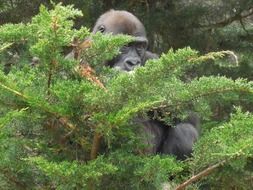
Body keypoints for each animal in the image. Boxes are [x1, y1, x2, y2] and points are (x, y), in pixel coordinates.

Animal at [75, 9, 200, 160]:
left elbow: (189, 113)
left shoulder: (153, 59)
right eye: (125, 45)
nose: (133, 62)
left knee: (186, 131)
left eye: (139, 46)